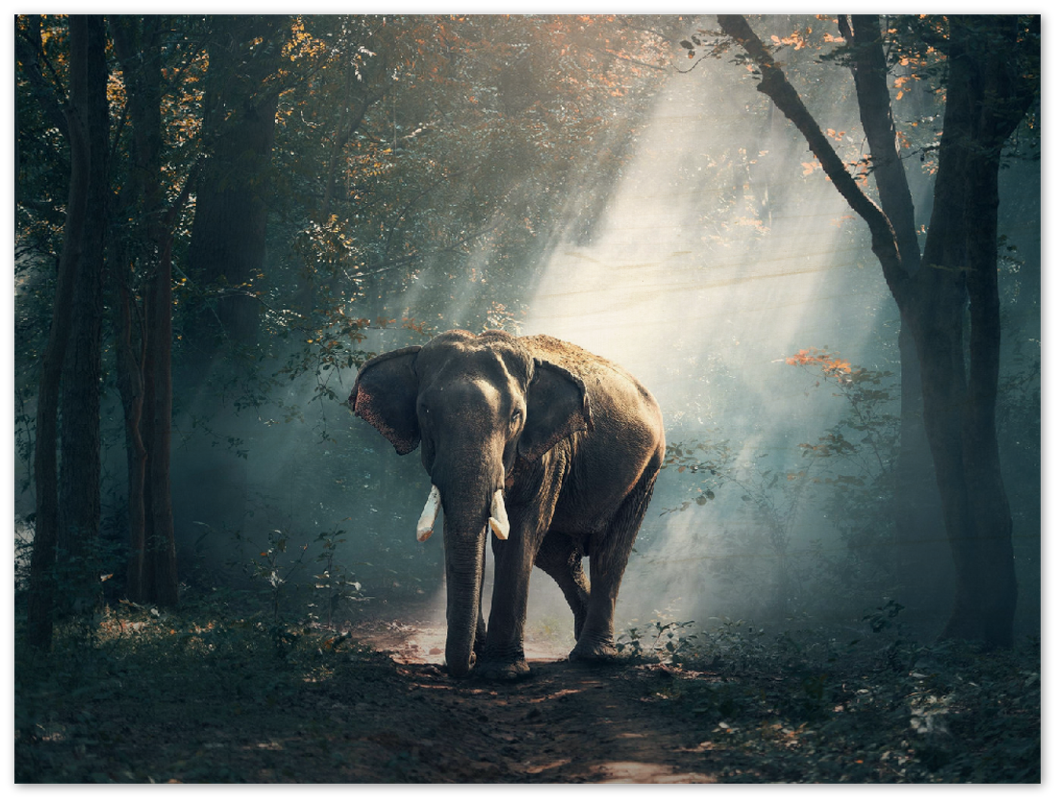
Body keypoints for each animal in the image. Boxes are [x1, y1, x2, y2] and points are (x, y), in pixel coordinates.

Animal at [349, 329, 664, 679]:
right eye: (425, 411)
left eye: (516, 416)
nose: (467, 663)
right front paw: (482, 655)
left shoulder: (548, 453)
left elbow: (519, 533)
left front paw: (503, 672)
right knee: (558, 556)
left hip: (647, 470)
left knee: (609, 551)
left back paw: (594, 656)